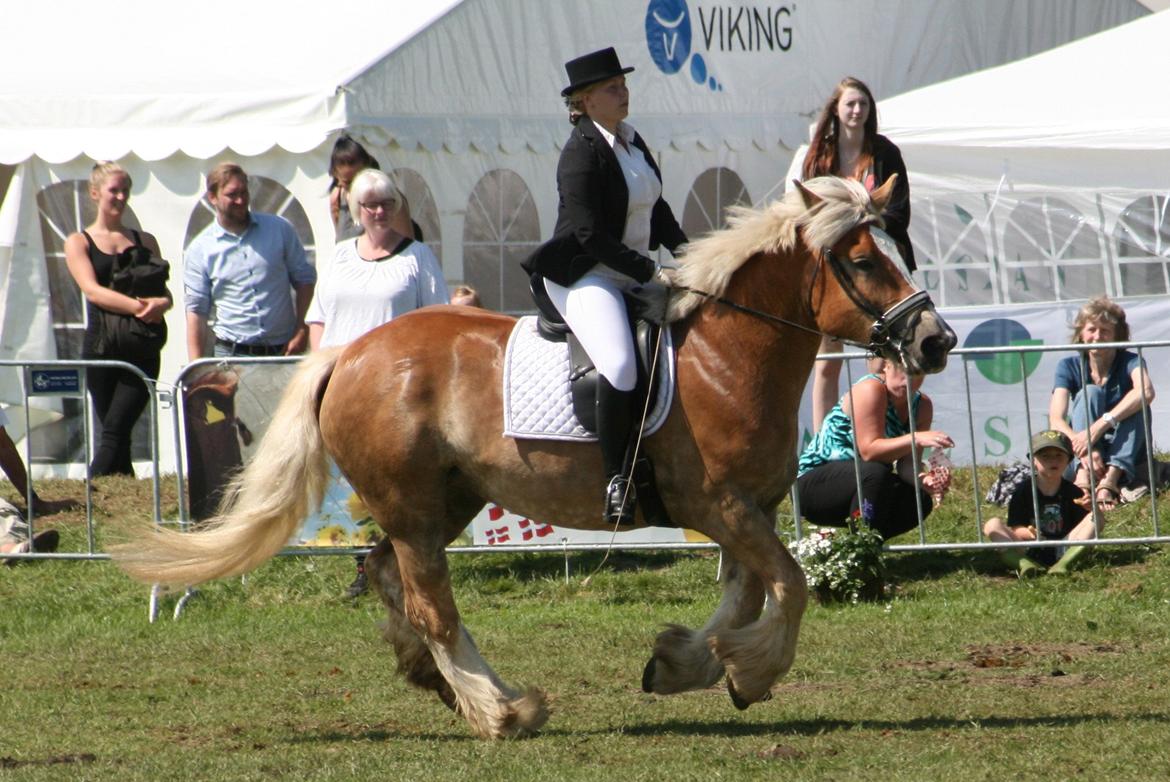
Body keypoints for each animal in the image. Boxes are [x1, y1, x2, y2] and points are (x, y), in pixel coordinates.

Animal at [109, 175, 954, 739]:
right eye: (865, 262)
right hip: (415, 506)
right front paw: (749, 672)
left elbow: (752, 592)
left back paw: (444, 685)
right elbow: (791, 584)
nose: (936, 342)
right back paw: (501, 709)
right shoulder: (718, 505)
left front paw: (685, 664)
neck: (726, 355)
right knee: (431, 603)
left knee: (386, 575)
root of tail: (348, 353)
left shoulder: (751, 508)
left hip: (442, 501)